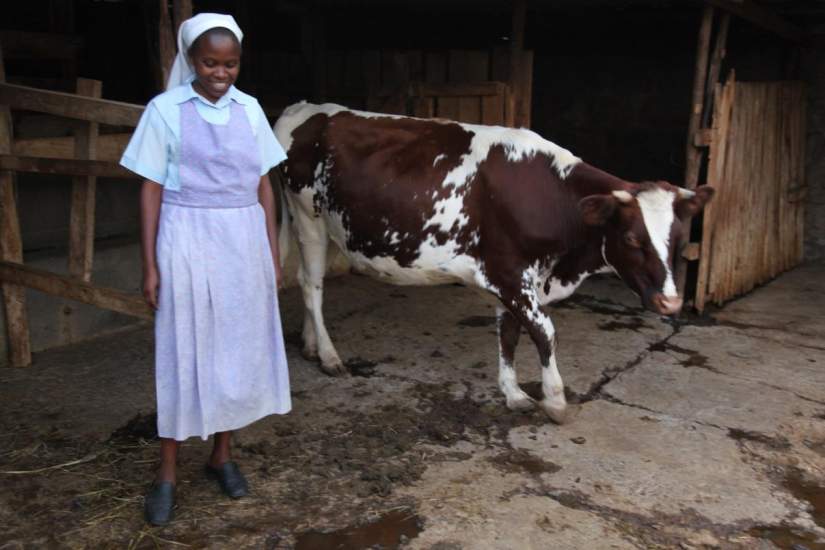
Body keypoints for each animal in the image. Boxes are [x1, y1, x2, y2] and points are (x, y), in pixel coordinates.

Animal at [274, 101, 712, 424]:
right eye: (632, 239)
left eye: (677, 241)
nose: (671, 302)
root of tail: (304, 108)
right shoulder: (509, 273)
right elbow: (544, 332)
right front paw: (554, 400)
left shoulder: (515, 280)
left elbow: (510, 335)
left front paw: (514, 393)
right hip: (309, 219)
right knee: (312, 287)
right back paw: (329, 357)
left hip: (332, 228)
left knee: (309, 282)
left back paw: (311, 346)